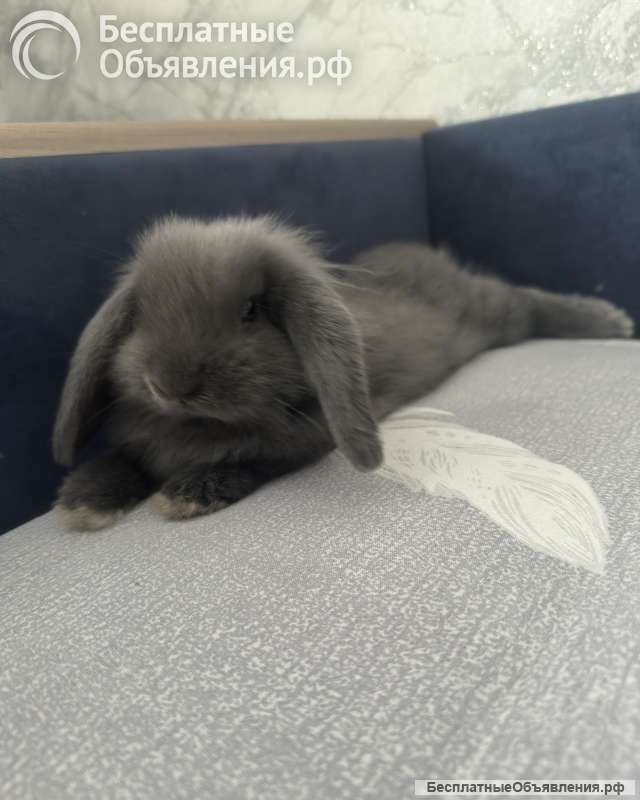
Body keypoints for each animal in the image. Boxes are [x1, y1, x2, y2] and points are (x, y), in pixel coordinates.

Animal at [53, 215, 634, 531]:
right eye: (142, 315)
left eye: (250, 311)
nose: (169, 385)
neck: (192, 426)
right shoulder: (137, 441)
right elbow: (117, 459)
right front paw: (84, 502)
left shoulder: (301, 442)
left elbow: (252, 459)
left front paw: (187, 494)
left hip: (493, 312)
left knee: (527, 303)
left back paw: (610, 320)